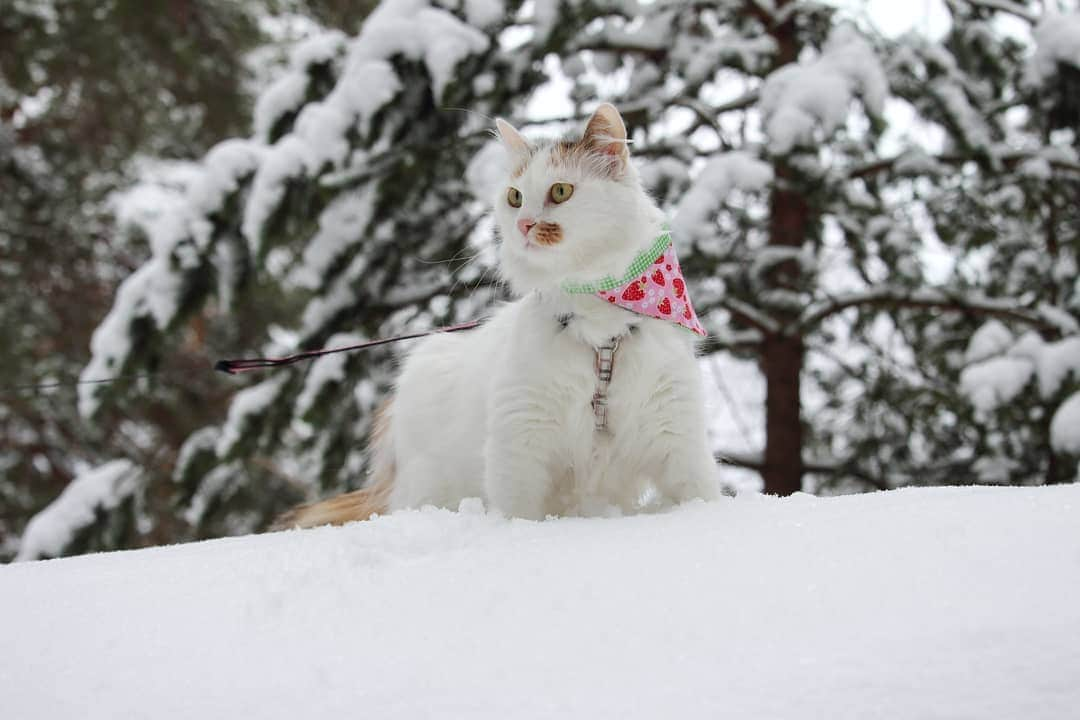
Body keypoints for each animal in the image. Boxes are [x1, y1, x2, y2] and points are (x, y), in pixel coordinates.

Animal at [274, 102, 721, 528]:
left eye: (561, 191)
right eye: (515, 197)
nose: (523, 225)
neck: (599, 335)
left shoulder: (678, 437)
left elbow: (701, 497)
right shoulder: (520, 441)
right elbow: (519, 515)